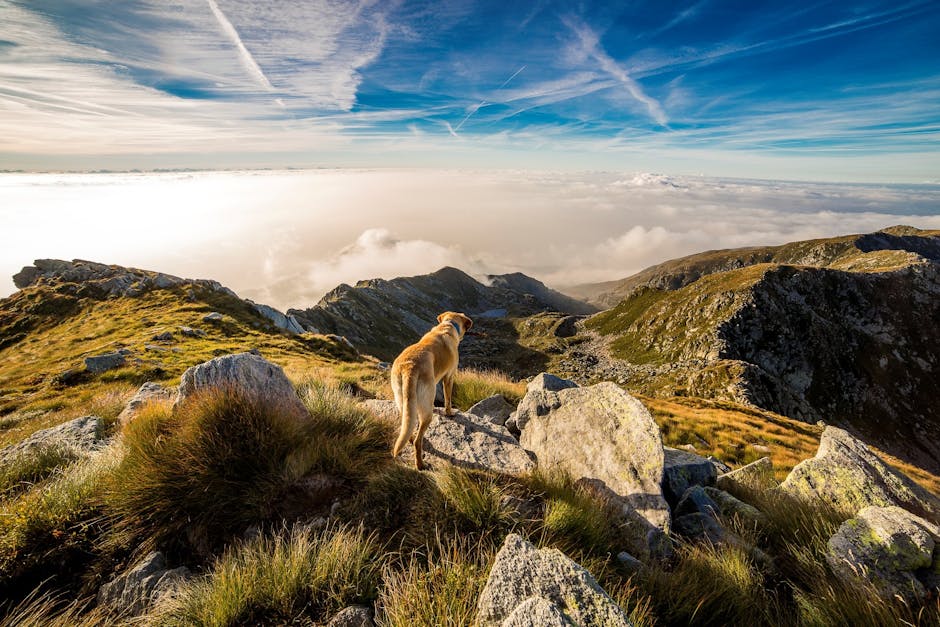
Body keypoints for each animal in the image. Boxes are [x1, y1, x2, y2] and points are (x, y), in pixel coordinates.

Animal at [392, 312, 474, 468]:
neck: (448, 325)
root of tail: (409, 367)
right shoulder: (449, 377)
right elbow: (448, 399)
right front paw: (449, 413)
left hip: (403, 400)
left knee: (407, 427)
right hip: (426, 411)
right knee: (418, 441)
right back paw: (420, 465)